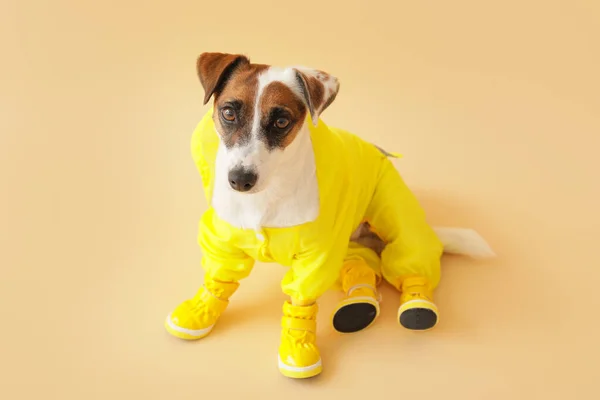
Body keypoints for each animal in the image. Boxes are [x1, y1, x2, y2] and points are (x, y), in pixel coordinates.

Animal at [165, 52, 496, 378]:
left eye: (282, 121)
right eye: (229, 113)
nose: (239, 180)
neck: (266, 196)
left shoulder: (318, 257)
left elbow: (301, 300)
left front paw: (298, 346)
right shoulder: (224, 240)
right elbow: (218, 280)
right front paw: (199, 311)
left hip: (394, 215)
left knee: (412, 259)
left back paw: (417, 305)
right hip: (347, 245)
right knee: (361, 267)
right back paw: (358, 303)